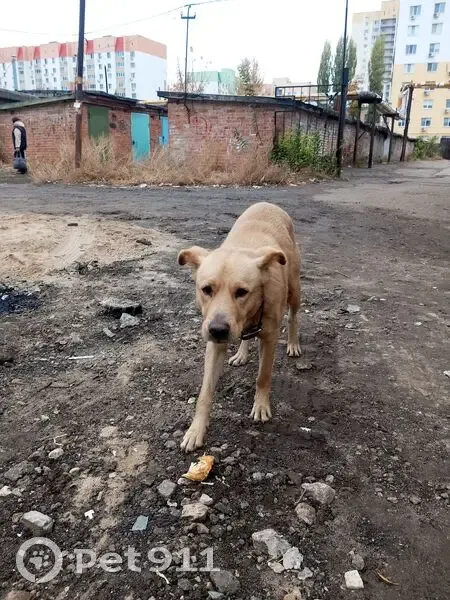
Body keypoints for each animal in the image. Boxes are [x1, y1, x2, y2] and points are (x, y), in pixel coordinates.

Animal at [178, 202, 301, 452]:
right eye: (206, 289)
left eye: (242, 292)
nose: (218, 330)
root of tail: (268, 203)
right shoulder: (215, 344)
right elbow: (205, 392)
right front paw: (195, 430)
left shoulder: (270, 337)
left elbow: (263, 376)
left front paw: (261, 406)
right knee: (246, 336)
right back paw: (241, 353)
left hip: (295, 289)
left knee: (293, 316)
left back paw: (293, 343)